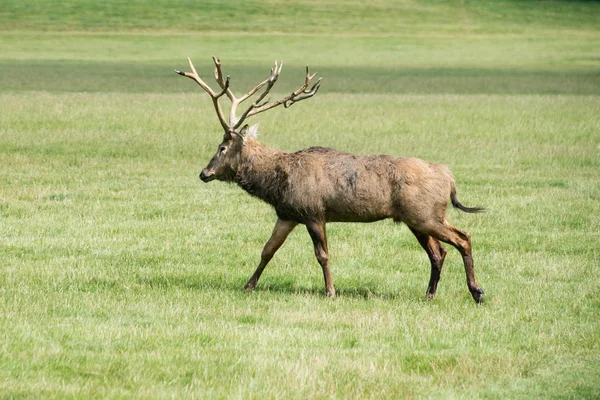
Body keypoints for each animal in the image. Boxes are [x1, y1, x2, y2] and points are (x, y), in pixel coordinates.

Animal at [176, 57, 486, 304]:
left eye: (222, 148)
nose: (204, 173)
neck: (277, 183)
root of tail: (449, 178)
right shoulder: (288, 214)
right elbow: (267, 250)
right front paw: (248, 286)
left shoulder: (314, 212)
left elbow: (322, 255)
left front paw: (331, 291)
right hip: (419, 218)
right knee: (439, 252)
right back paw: (430, 294)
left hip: (424, 214)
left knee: (463, 238)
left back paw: (477, 292)